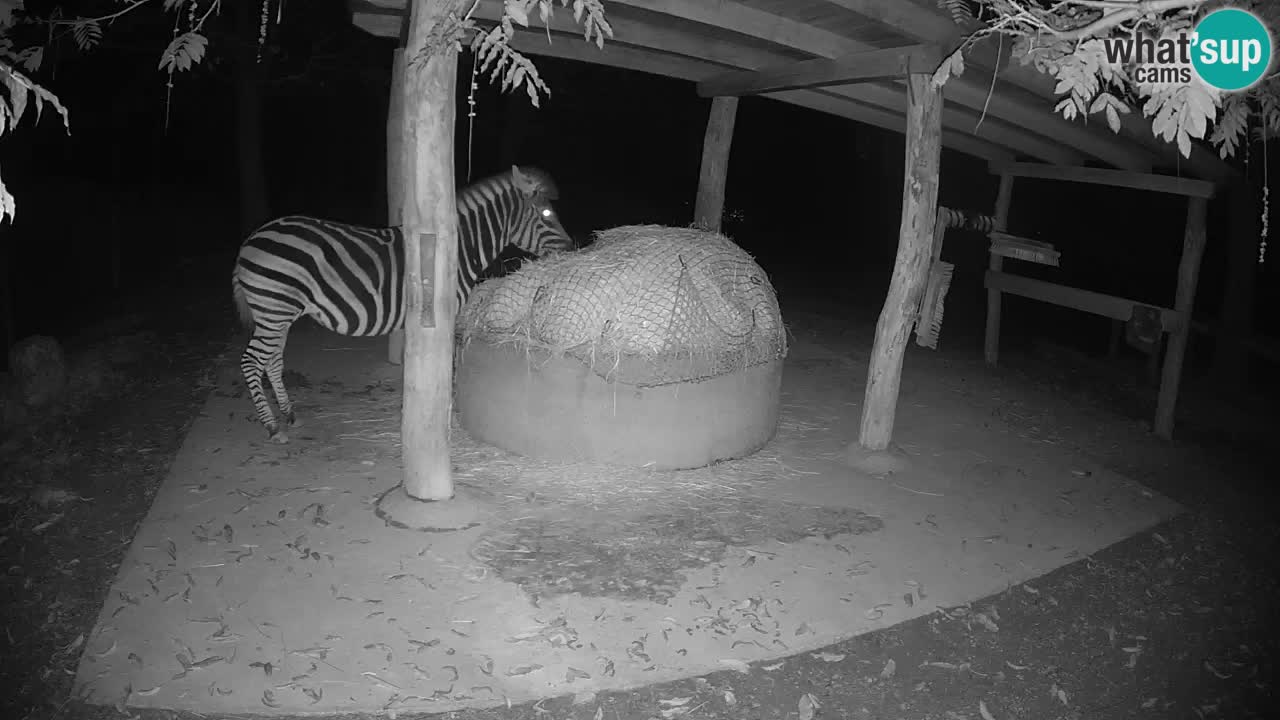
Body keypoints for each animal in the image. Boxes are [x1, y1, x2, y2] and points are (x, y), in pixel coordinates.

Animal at [232, 165, 572, 443]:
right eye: (546, 215)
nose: (570, 248)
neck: (457, 250)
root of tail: (251, 239)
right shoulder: (446, 312)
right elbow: (448, 361)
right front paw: (445, 405)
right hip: (275, 310)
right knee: (251, 361)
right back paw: (272, 427)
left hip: (277, 314)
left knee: (272, 361)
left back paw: (290, 415)